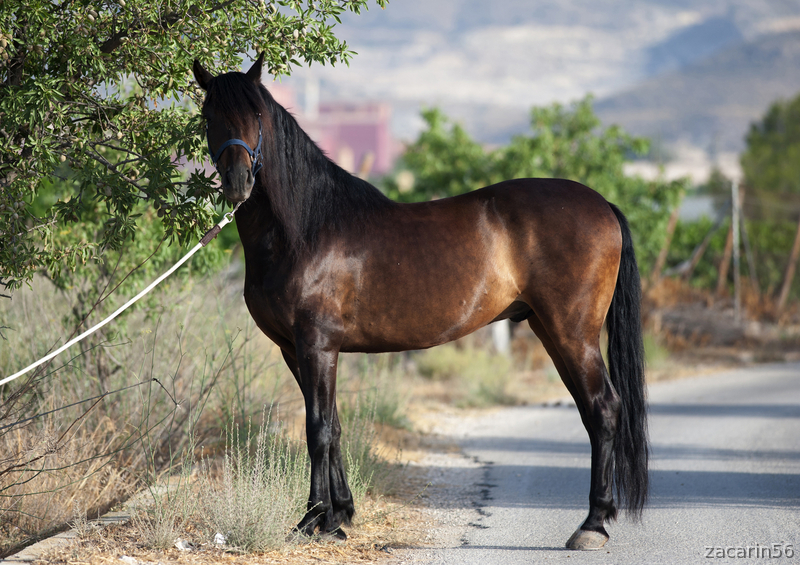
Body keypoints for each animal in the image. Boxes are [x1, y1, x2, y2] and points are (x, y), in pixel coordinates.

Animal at [192, 54, 649, 551]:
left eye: (256, 114)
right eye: (208, 116)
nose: (238, 183)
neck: (307, 229)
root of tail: (602, 204)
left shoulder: (317, 344)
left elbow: (317, 429)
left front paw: (313, 519)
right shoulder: (294, 349)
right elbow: (334, 424)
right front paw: (339, 515)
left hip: (573, 332)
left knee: (604, 409)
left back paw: (592, 525)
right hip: (549, 330)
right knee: (591, 411)